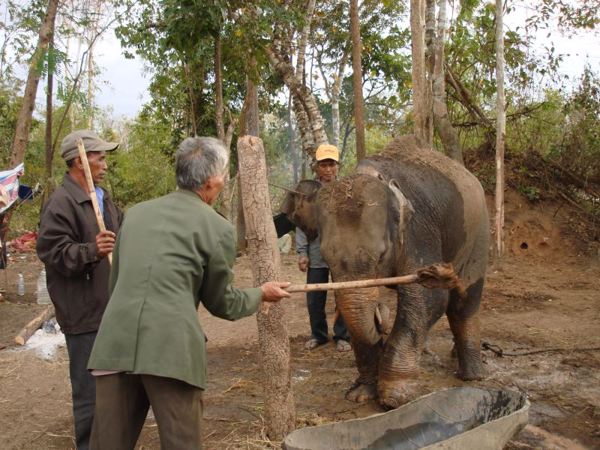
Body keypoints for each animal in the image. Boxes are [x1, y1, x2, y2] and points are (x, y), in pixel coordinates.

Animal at [278, 135, 490, 410]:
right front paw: (361, 394)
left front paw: (394, 396)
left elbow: (429, 295)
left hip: (478, 234)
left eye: (380, 256)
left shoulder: (419, 230)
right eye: (325, 258)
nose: (380, 317)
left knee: (463, 301)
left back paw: (472, 375)